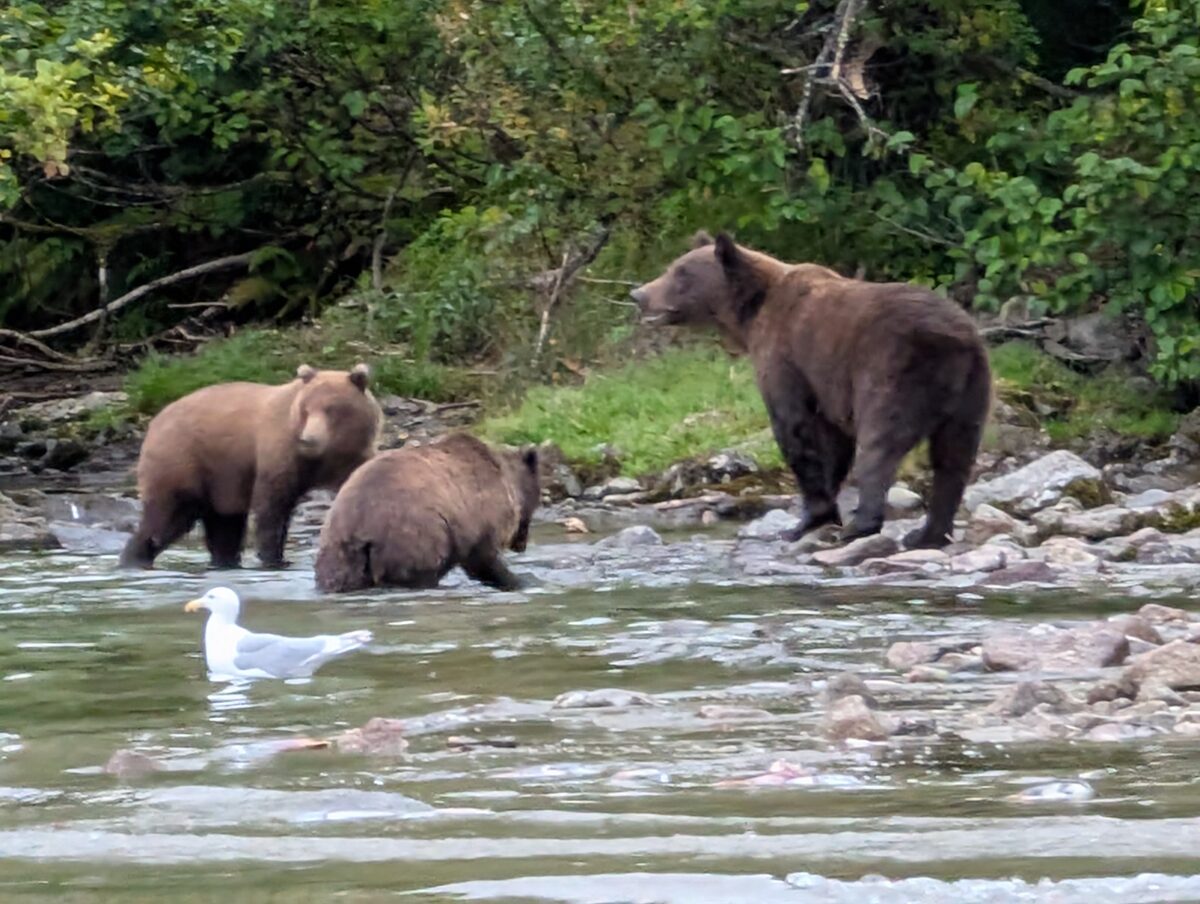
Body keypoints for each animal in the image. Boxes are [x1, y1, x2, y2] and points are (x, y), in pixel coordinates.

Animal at [119, 363, 382, 570]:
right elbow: (272, 507)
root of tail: (155, 421)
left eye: (331, 409)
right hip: (183, 460)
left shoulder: (352, 459)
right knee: (166, 518)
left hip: (221, 482)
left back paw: (224, 562)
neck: (326, 455)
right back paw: (134, 558)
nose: (308, 439)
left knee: (225, 527)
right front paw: (272, 557)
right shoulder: (280, 454)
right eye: (306, 410)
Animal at [314, 432, 540, 593]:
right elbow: (484, 559)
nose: (522, 545)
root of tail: (358, 531)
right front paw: (519, 581)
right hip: (413, 538)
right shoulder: (479, 516)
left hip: (337, 552)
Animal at [631, 232, 991, 549]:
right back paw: (928, 533)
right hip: (972, 390)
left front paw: (802, 523)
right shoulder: (830, 392)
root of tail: (954, 340)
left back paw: (862, 526)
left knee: (880, 445)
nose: (639, 294)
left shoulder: (786, 360)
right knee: (953, 459)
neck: (750, 314)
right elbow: (834, 442)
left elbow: (796, 430)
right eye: (672, 267)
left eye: (680, 272)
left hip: (893, 373)